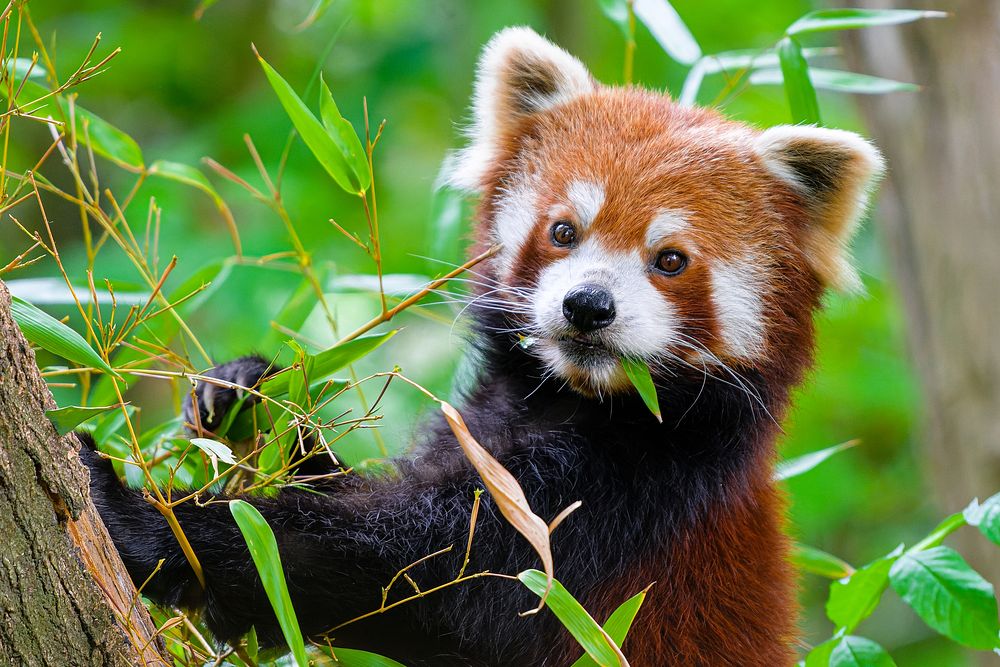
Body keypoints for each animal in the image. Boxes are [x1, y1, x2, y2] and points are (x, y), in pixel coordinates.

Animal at [84, 26, 884, 667]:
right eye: (563, 230)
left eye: (670, 259)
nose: (588, 305)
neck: (576, 403)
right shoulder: (480, 429)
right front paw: (249, 395)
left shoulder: (621, 505)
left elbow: (402, 568)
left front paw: (142, 518)